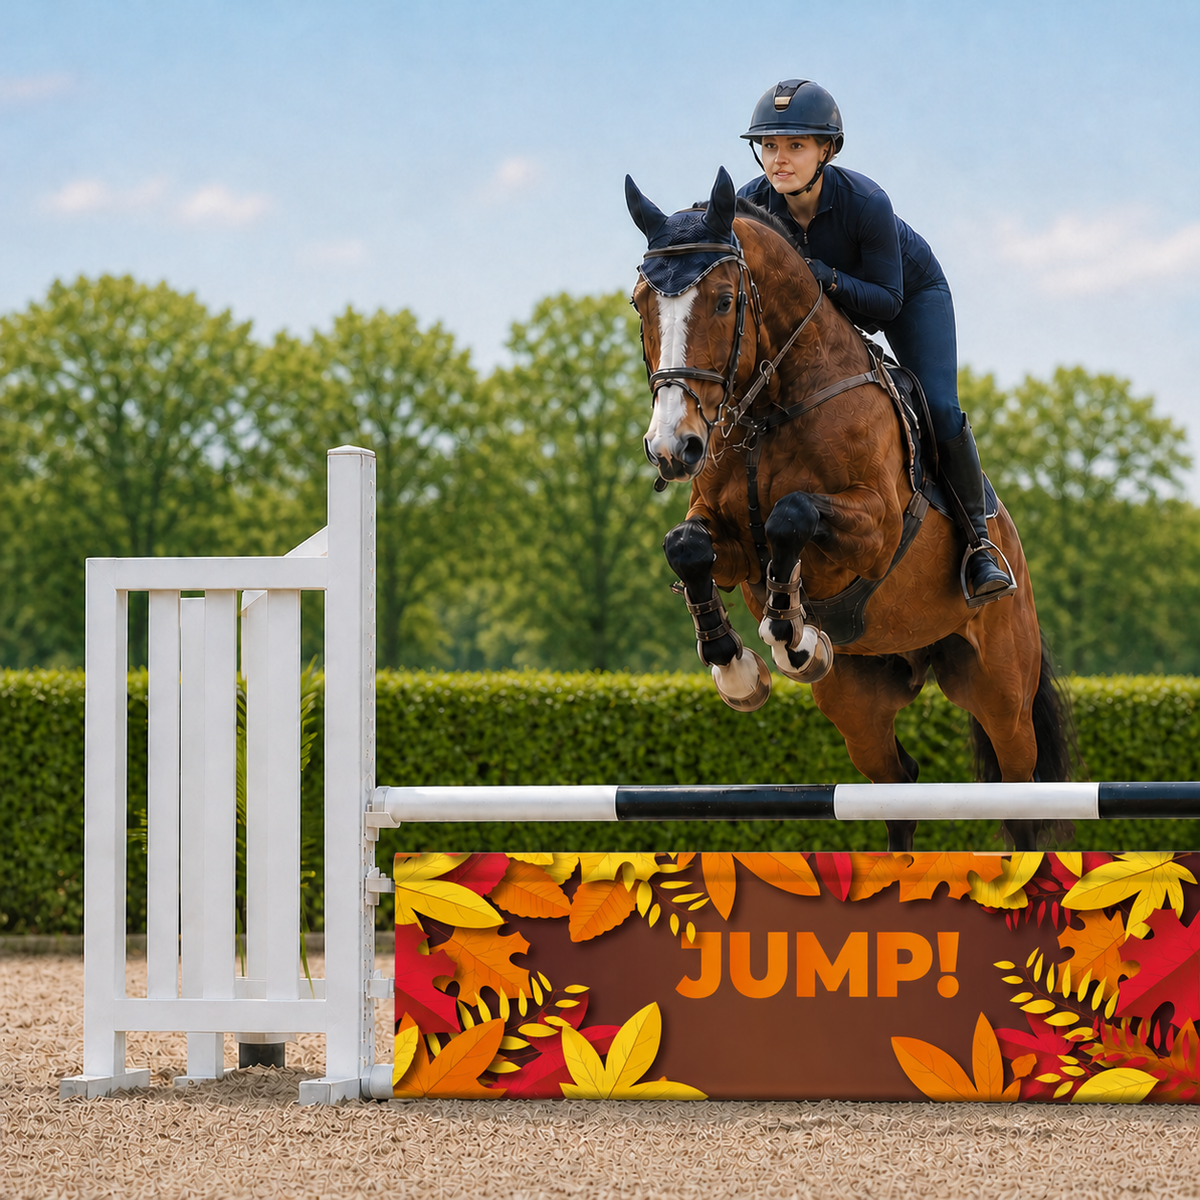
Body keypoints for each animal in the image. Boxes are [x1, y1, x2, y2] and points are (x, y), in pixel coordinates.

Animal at [626, 167, 1070, 853]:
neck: (771, 408)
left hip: (1000, 687)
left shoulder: (874, 528)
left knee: (1019, 792)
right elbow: (689, 547)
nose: (673, 447)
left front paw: (791, 631)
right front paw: (738, 669)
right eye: (640, 304)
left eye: (724, 301)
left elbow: (791, 515)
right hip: (857, 702)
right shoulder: (727, 543)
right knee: (898, 784)